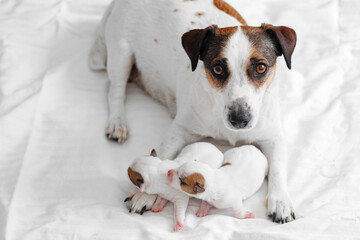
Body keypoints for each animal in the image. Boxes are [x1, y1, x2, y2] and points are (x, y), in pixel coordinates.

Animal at [90, 0, 298, 223]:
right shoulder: (178, 130)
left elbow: (277, 169)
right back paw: (117, 122)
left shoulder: (273, 138)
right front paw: (144, 194)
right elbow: (163, 156)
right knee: (115, 91)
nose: (240, 119)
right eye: (217, 69)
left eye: (261, 68)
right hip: (121, 53)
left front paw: (280, 201)